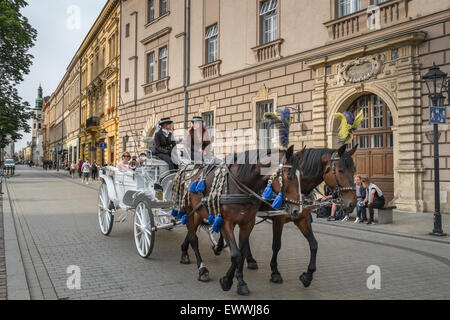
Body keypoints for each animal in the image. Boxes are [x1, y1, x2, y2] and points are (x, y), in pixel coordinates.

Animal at [176, 145, 302, 296]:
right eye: (289, 176)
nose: (297, 210)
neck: (240, 185)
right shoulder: (225, 223)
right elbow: (236, 254)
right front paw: (226, 282)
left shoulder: (247, 223)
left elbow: (241, 254)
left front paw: (239, 282)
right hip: (189, 211)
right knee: (193, 239)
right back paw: (202, 269)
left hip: (199, 212)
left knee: (191, 232)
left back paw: (185, 253)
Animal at [214, 143, 358, 288]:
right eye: (340, 170)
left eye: (354, 170)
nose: (352, 203)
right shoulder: (278, 220)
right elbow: (276, 245)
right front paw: (275, 272)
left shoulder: (302, 218)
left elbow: (313, 244)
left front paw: (308, 276)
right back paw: (221, 247)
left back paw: (249, 259)